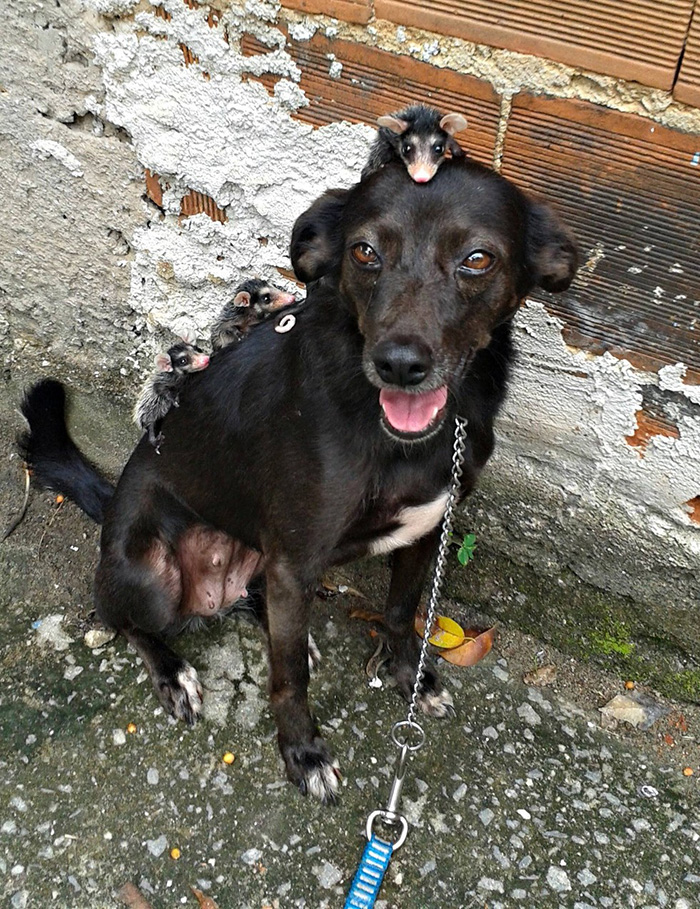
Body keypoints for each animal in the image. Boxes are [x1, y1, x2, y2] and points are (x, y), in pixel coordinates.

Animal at [23, 156, 580, 800]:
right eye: (364, 251)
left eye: (478, 259)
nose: (398, 365)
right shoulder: (296, 559)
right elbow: (287, 681)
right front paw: (303, 754)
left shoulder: (425, 531)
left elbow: (399, 614)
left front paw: (407, 677)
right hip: (151, 574)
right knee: (123, 619)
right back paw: (173, 671)